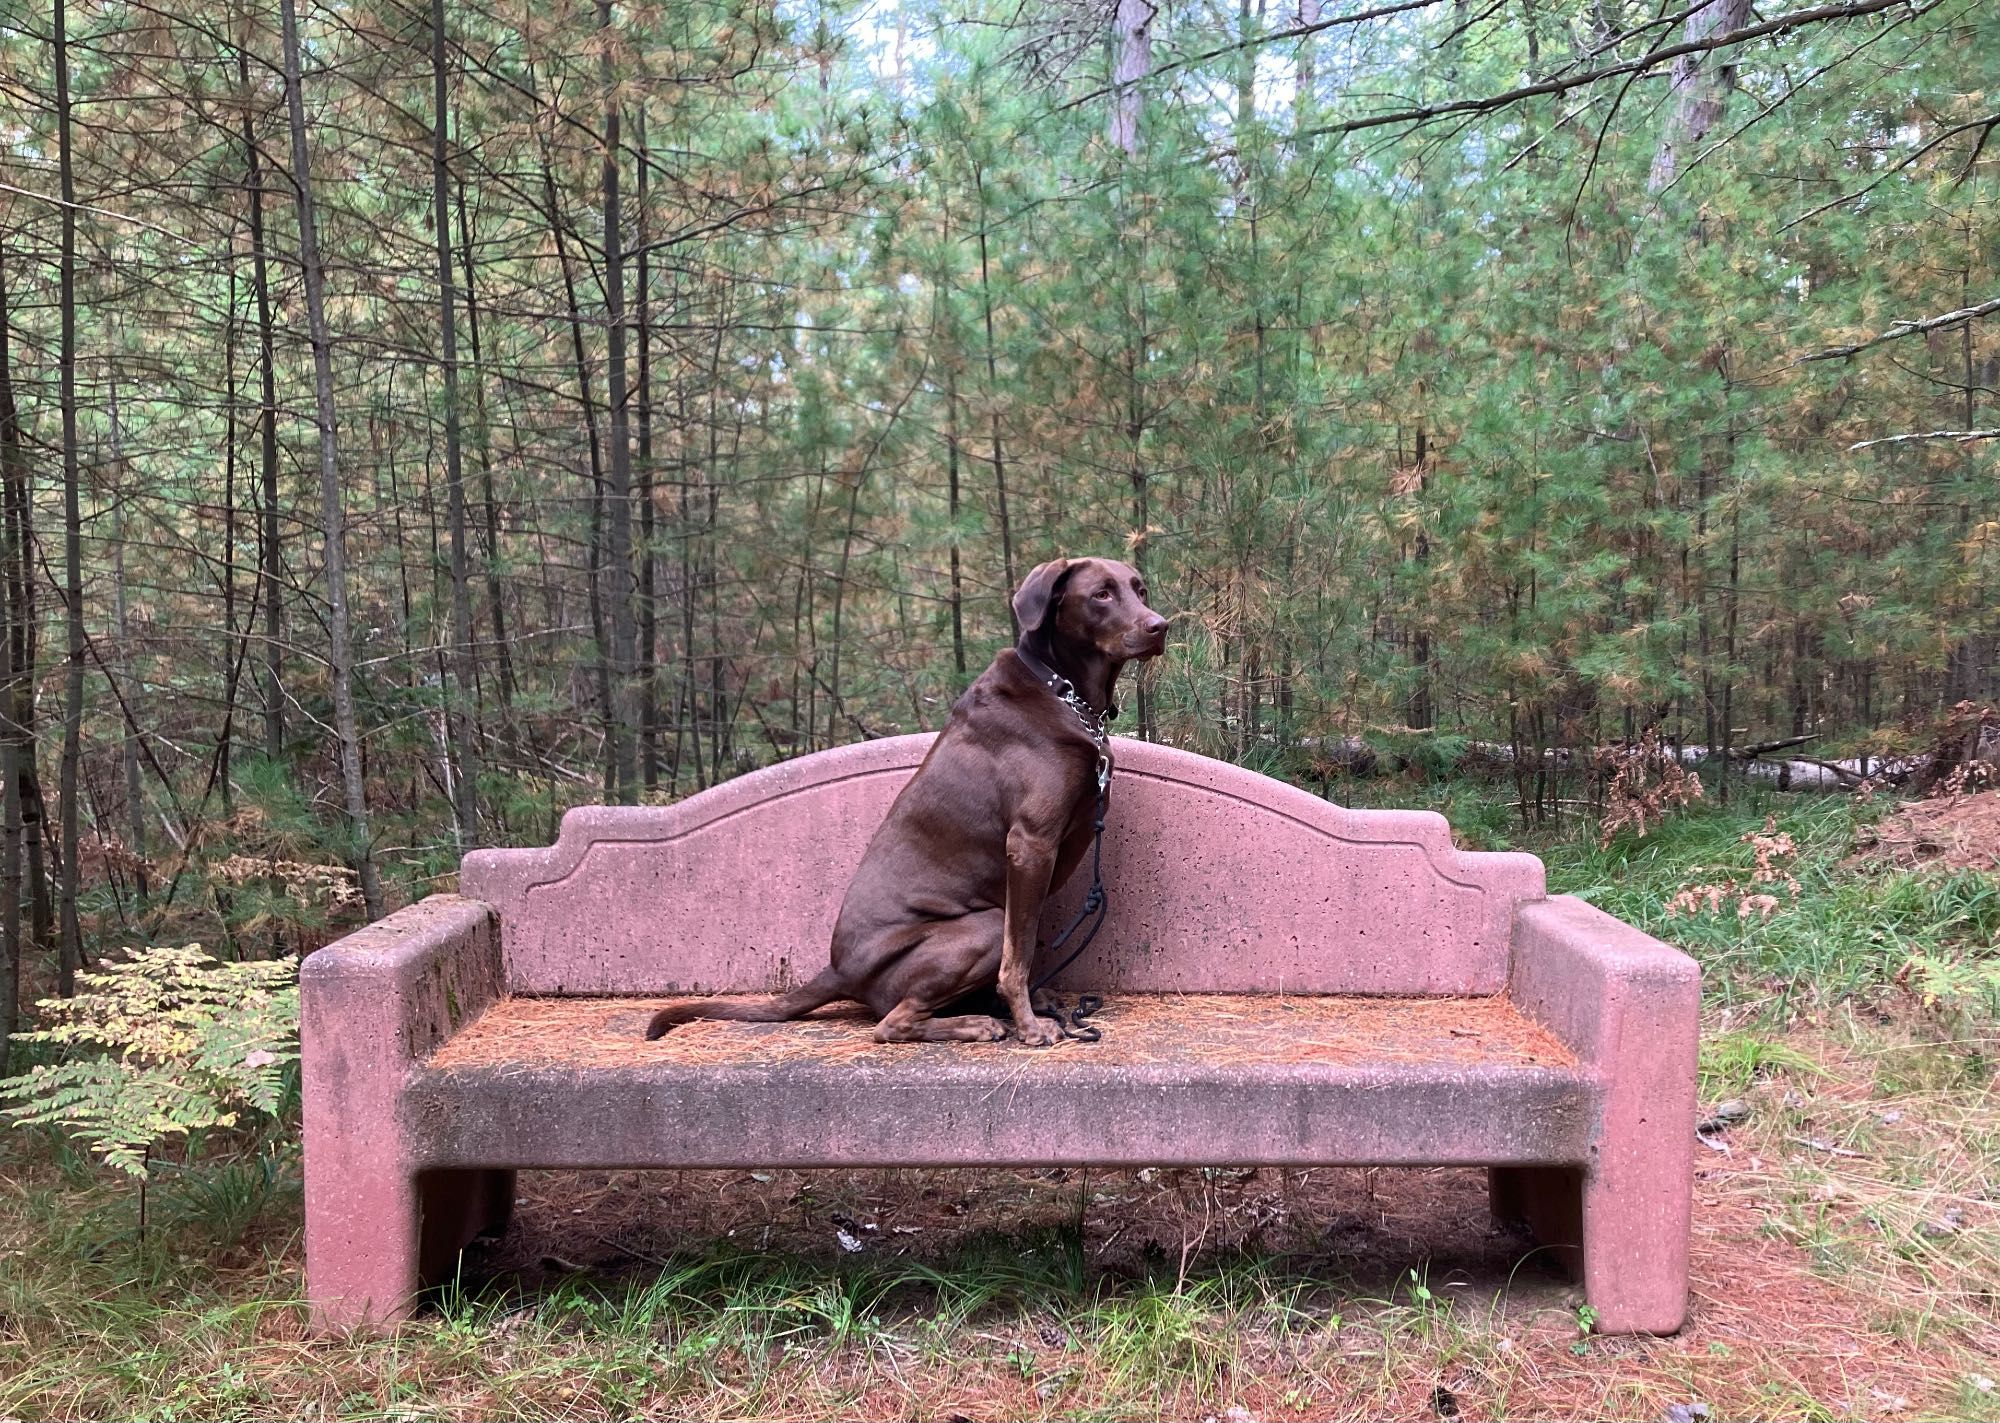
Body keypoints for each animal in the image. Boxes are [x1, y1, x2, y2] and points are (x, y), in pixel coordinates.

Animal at [648, 559, 1168, 1047]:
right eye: (1101, 594)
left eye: (1139, 589)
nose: (1160, 626)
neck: (1061, 690)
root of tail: (838, 972)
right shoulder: (1030, 842)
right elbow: (1017, 956)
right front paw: (1029, 1026)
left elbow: (1024, 946)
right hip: (980, 926)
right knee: (891, 1023)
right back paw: (977, 1023)